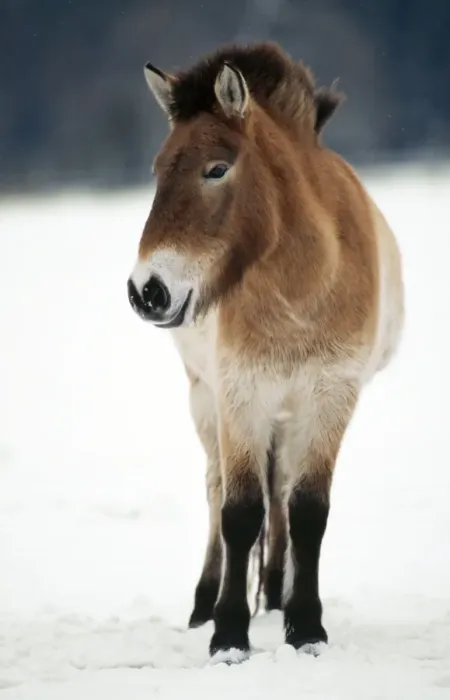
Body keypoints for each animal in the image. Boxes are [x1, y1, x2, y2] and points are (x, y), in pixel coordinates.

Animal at [127, 41, 404, 662]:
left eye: (216, 168)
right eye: (158, 171)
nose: (146, 290)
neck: (303, 286)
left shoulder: (330, 398)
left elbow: (307, 512)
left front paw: (306, 626)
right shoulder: (240, 395)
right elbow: (239, 512)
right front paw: (229, 634)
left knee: (280, 494)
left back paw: (277, 596)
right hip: (206, 401)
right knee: (216, 493)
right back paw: (205, 604)